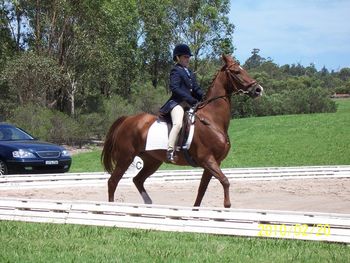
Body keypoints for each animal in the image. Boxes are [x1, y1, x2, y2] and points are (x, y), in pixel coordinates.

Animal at [101, 55, 262, 208]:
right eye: (236, 72)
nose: (258, 89)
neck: (211, 120)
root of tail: (127, 119)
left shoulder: (214, 162)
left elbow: (202, 189)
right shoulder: (207, 159)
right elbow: (225, 181)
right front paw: (227, 206)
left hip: (152, 161)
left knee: (137, 180)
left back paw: (149, 204)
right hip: (125, 157)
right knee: (113, 181)